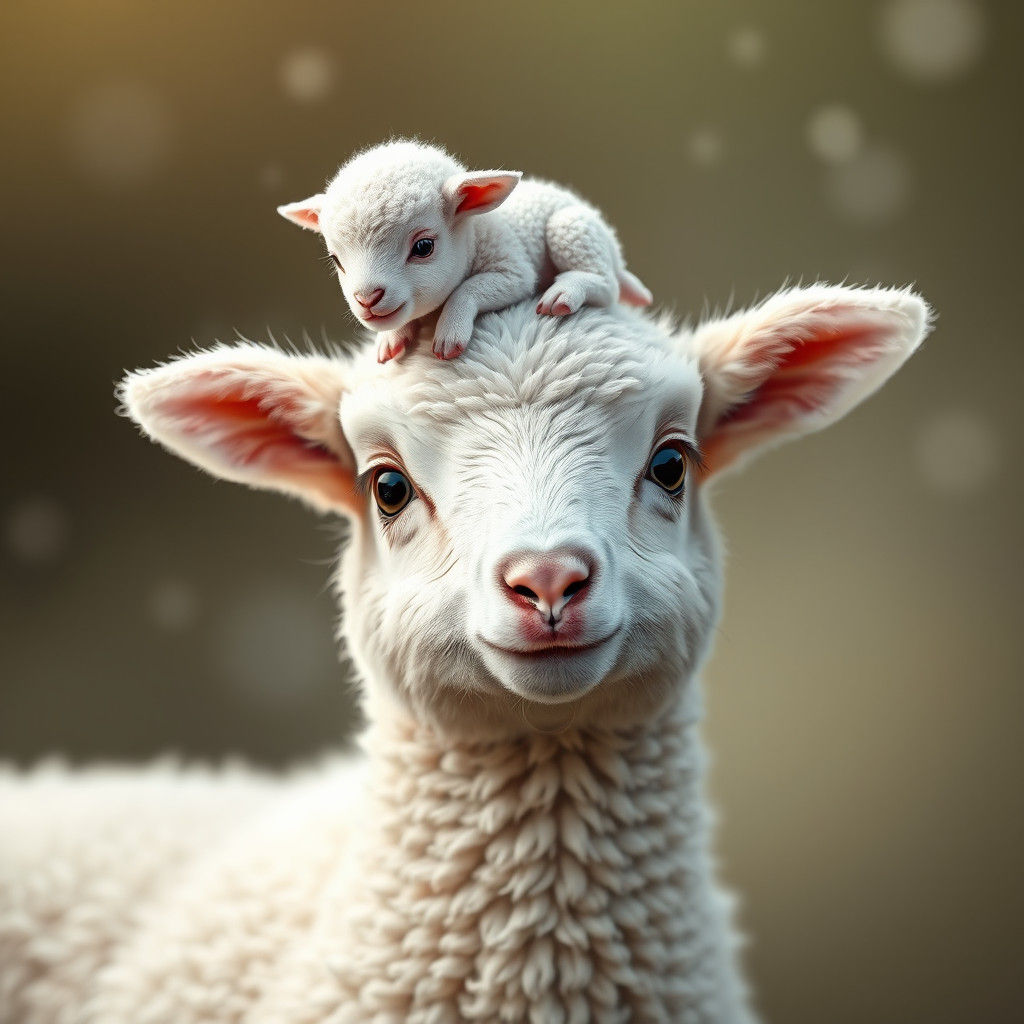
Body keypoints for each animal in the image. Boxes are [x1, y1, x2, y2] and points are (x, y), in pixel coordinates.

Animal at [277, 139, 653, 362]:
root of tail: (615, 251)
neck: (475, 231)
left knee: (605, 285)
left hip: (571, 228)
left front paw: (448, 333)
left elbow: (469, 289)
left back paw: (563, 293)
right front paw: (390, 340)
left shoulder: (512, 268)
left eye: (423, 247)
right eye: (336, 260)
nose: (367, 299)